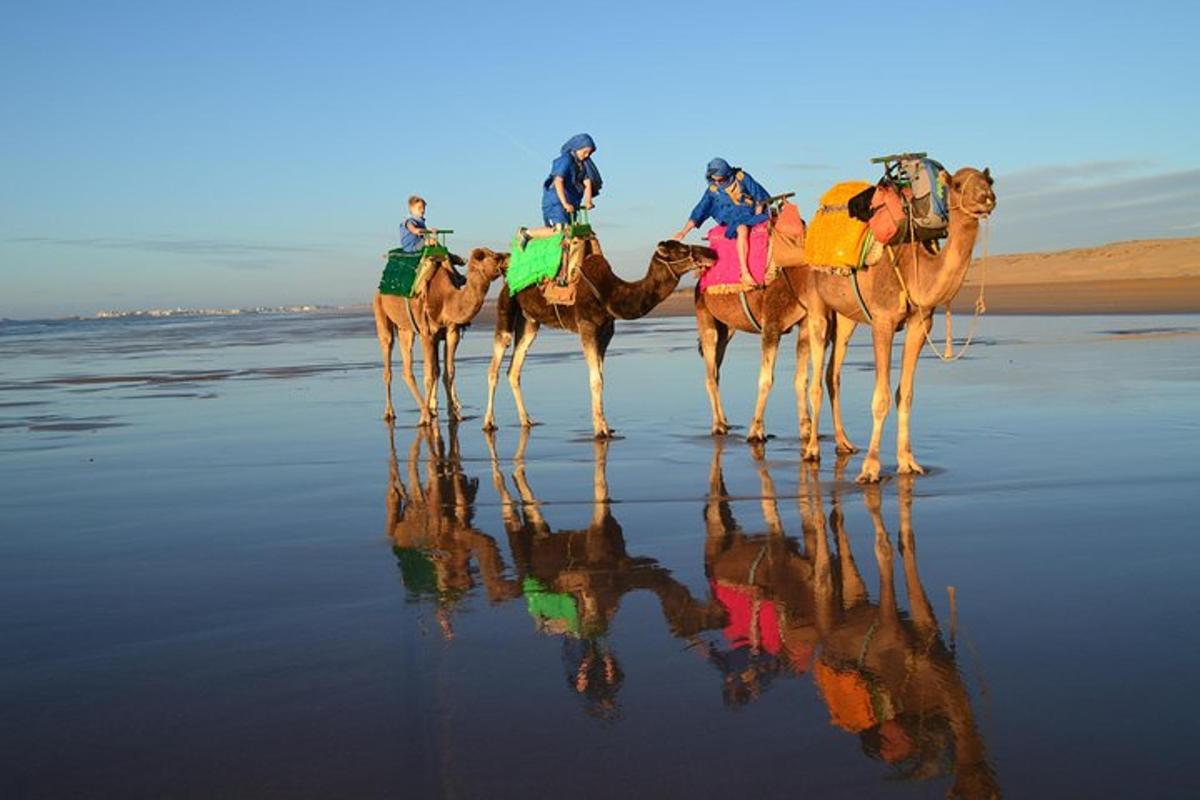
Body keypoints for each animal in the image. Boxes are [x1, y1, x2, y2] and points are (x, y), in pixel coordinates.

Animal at [372, 247, 508, 424]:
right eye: (497, 256)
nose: (510, 256)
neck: (447, 298)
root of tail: (380, 289)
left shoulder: (451, 332)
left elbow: (447, 372)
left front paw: (453, 414)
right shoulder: (427, 334)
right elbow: (429, 374)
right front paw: (426, 416)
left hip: (405, 329)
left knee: (409, 366)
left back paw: (428, 409)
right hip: (380, 310)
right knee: (389, 355)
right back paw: (393, 412)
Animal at [482, 239, 715, 438]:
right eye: (682, 250)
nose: (710, 254)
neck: (610, 293)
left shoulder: (605, 333)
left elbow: (601, 378)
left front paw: (605, 426)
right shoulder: (587, 327)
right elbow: (595, 380)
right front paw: (600, 431)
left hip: (529, 321)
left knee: (514, 369)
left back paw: (527, 420)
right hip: (506, 306)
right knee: (495, 366)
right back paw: (488, 423)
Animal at [806, 167, 993, 482]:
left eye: (989, 181)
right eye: (956, 185)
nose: (987, 198)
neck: (915, 268)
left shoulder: (921, 323)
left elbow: (905, 394)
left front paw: (908, 462)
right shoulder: (882, 321)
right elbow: (881, 398)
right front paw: (870, 469)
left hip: (846, 316)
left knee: (833, 373)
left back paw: (844, 443)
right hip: (816, 302)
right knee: (816, 378)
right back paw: (811, 450)